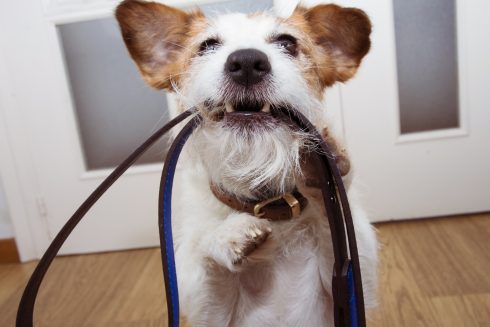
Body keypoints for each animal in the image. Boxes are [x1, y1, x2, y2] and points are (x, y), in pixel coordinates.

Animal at [116, 1, 378, 326]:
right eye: (207, 45)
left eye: (287, 43)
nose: (247, 62)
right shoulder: (208, 313)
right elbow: (203, 252)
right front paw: (229, 234)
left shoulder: (353, 287)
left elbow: (343, 236)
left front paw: (325, 160)